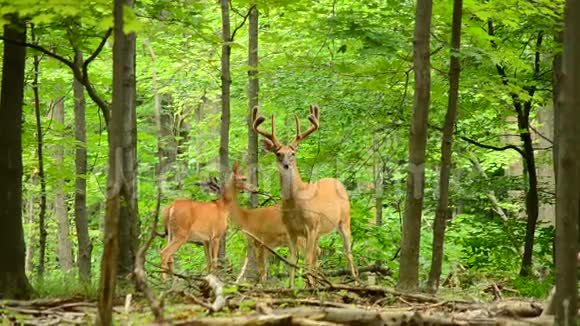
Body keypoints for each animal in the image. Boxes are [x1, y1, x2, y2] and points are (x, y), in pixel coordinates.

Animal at [253, 105, 358, 288]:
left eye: (293, 153)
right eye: (278, 153)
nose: (286, 165)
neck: (295, 204)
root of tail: (337, 181)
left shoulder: (311, 226)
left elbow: (307, 259)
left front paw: (307, 286)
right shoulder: (291, 230)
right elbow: (292, 260)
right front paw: (291, 287)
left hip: (344, 220)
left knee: (347, 251)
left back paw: (354, 281)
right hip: (320, 231)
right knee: (318, 253)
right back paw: (315, 282)